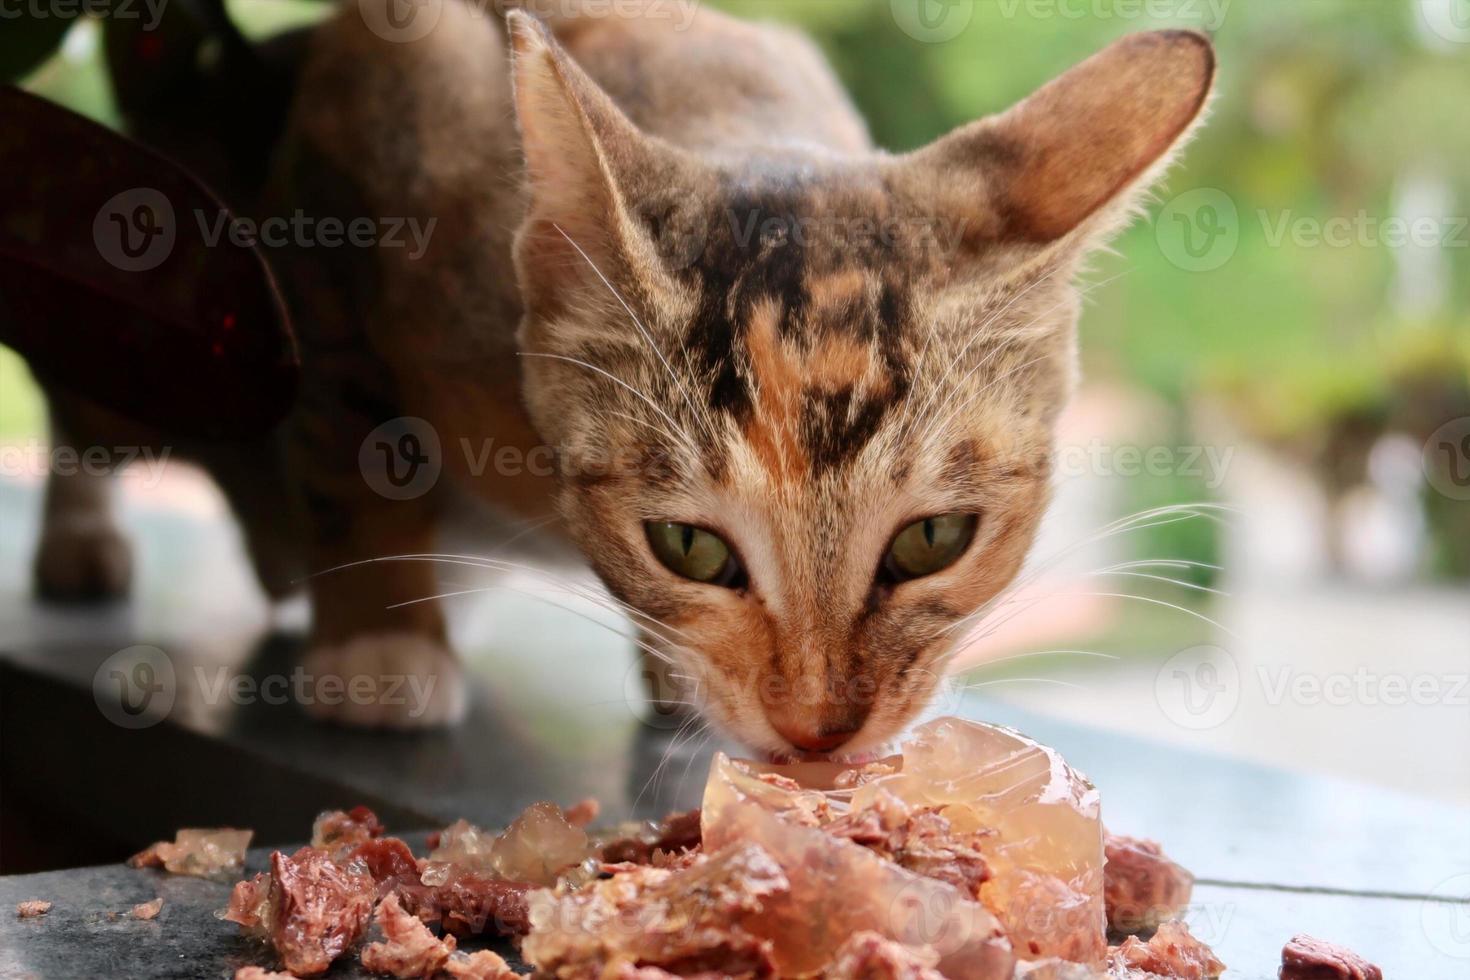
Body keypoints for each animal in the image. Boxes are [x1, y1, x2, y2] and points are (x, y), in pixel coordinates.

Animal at [31, 0, 1217, 758]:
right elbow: (356, 445)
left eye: (935, 538)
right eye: (689, 543)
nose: (819, 731)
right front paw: (380, 646)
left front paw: (679, 679)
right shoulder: (361, 136)